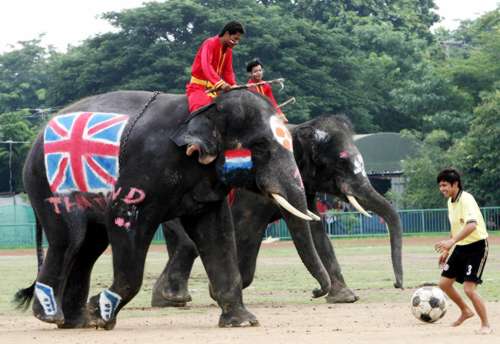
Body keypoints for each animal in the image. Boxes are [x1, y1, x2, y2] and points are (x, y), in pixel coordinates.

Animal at [13, 90, 332, 330]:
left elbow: (216, 234)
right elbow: (124, 221)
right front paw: (101, 312)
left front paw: (243, 321)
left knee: (89, 246)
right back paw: (51, 315)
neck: (203, 109)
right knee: (70, 240)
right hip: (47, 183)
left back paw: (76, 322)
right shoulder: (142, 169)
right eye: (262, 148)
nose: (316, 292)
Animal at [151, 114, 402, 308]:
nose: (397, 284)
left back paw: (169, 300)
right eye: (340, 164)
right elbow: (246, 230)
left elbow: (315, 230)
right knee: (189, 244)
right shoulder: (255, 192)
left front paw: (345, 297)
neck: (298, 128)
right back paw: (173, 298)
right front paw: (218, 291)